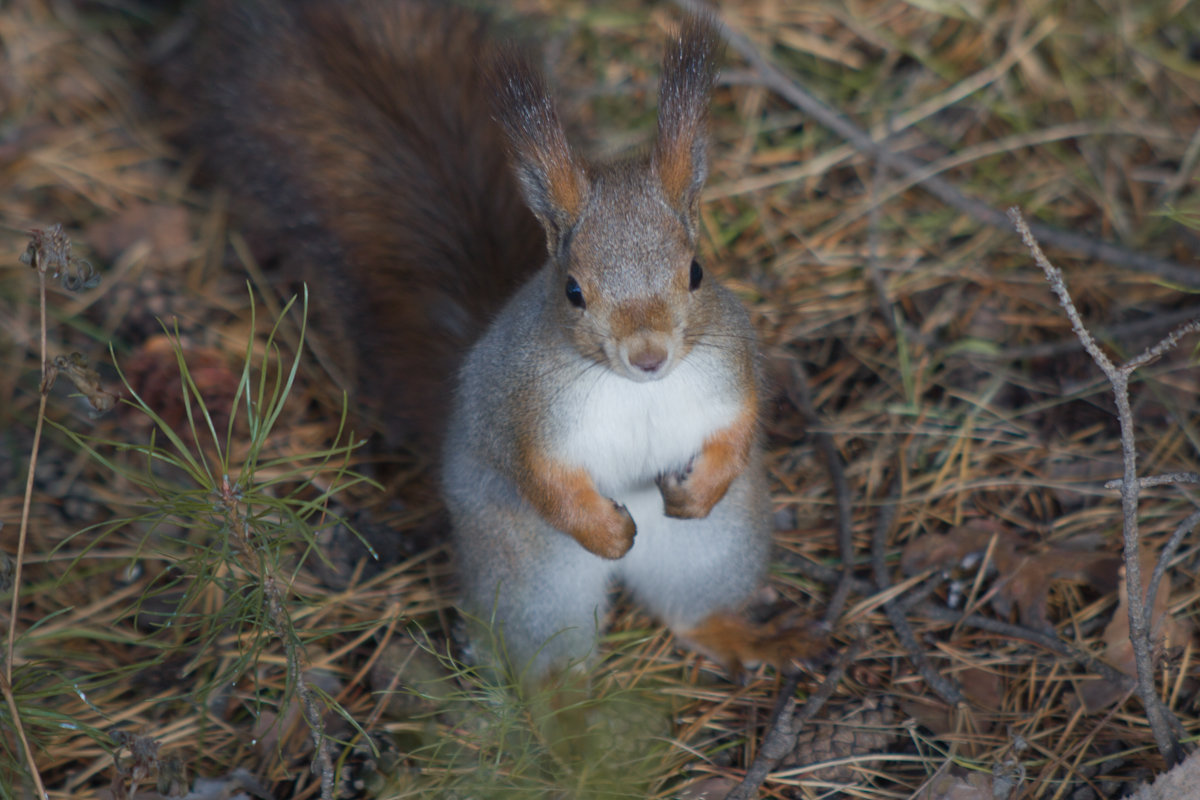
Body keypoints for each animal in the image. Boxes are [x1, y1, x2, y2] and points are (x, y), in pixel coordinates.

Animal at [171, 0, 825, 690]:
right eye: (572, 291)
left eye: (696, 272)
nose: (649, 356)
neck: (633, 390)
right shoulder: (522, 406)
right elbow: (539, 476)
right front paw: (604, 532)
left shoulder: (731, 364)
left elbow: (741, 424)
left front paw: (702, 486)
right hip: (530, 578)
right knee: (545, 663)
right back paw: (569, 697)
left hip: (716, 547)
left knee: (692, 617)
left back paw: (752, 636)